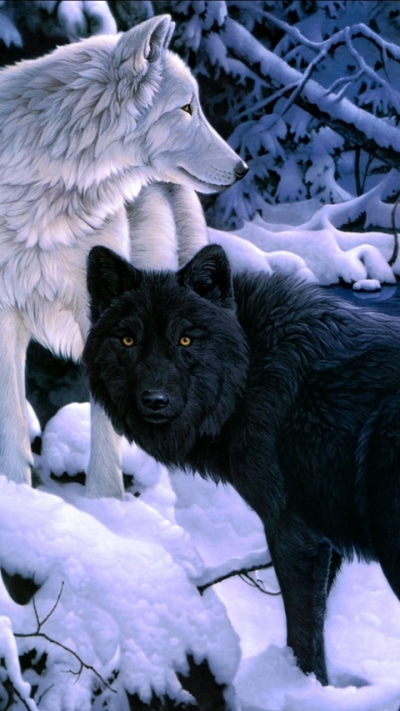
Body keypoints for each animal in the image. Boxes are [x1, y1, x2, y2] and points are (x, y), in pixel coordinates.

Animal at [0, 14, 247, 497]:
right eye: (186, 108)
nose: (242, 168)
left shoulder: (97, 311)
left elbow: (104, 424)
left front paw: (104, 502)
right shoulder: (5, 313)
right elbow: (13, 420)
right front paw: (16, 491)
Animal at [83, 243, 400, 685]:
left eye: (186, 339)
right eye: (128, 340)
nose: (155, 400)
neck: (251, 368)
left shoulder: (292, 530)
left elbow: (303, 634)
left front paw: (298, 688)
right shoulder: (325, 538)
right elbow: (317, 627)